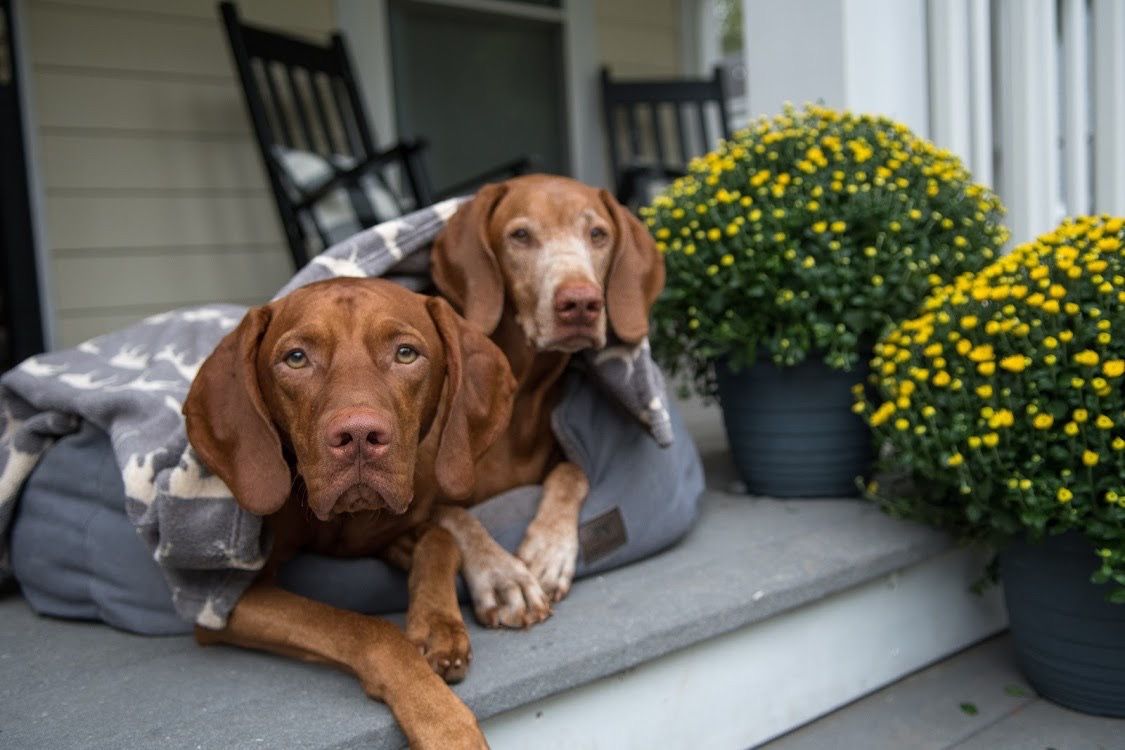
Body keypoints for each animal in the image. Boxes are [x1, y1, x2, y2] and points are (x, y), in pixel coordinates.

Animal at [185, 279, 517, 750]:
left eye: (405, 353)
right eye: (296, 358)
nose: (359, 435)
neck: (345, 521)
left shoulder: (391, 531)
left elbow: (441, 539)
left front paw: (437, 624)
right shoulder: (219, 603)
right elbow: (364, 628)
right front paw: (443, 720)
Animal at [427, 173, 657, 625]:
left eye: (598, 234)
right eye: (520, 235)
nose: (581, 303)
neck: (521, 387)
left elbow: (573, 472)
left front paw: (550, 550)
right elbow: (453, 516)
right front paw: (502, 575)